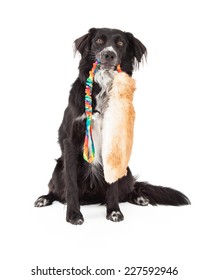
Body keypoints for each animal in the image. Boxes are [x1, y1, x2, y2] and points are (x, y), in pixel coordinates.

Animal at [34, 27, 190, 225]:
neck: (102, 88)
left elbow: (113, 186)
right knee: (56, 189)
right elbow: (71, 186)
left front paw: (114, 211)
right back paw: (44, 198)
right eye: (99, 41)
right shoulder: (71, 140)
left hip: (127, 171)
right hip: (58, 169)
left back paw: (139, 197)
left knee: (130, 188)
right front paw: (74, 214)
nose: (109, 54)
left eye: (120, 44)